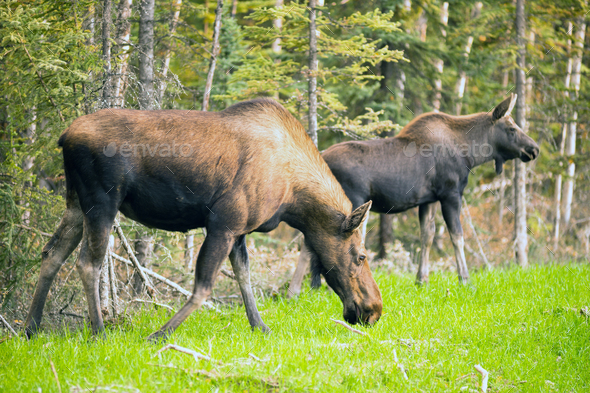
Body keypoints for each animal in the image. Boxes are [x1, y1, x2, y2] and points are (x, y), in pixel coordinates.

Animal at [25, 98, 382, 340]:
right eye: (361, 256)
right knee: (89, 263)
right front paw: (159, 334)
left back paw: (31, 328)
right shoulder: (223, 223)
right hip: (102, 200)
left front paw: (261, 326)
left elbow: (244, 278)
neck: (294, 200)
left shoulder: (239, 231)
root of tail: (64, 137)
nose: (374, 309)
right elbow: (204, 287)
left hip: (75, 202)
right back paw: (98, 331)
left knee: (51, 253)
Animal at [290, 92, 540, 294]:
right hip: (352, 200)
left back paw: (301, 290)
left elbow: (427, 236)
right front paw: (465, 279)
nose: (534, 149)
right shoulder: (450, 194)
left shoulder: (428, 200)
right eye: (512, 129)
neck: (470, 153)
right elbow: (457, 236)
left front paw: (422, 280)